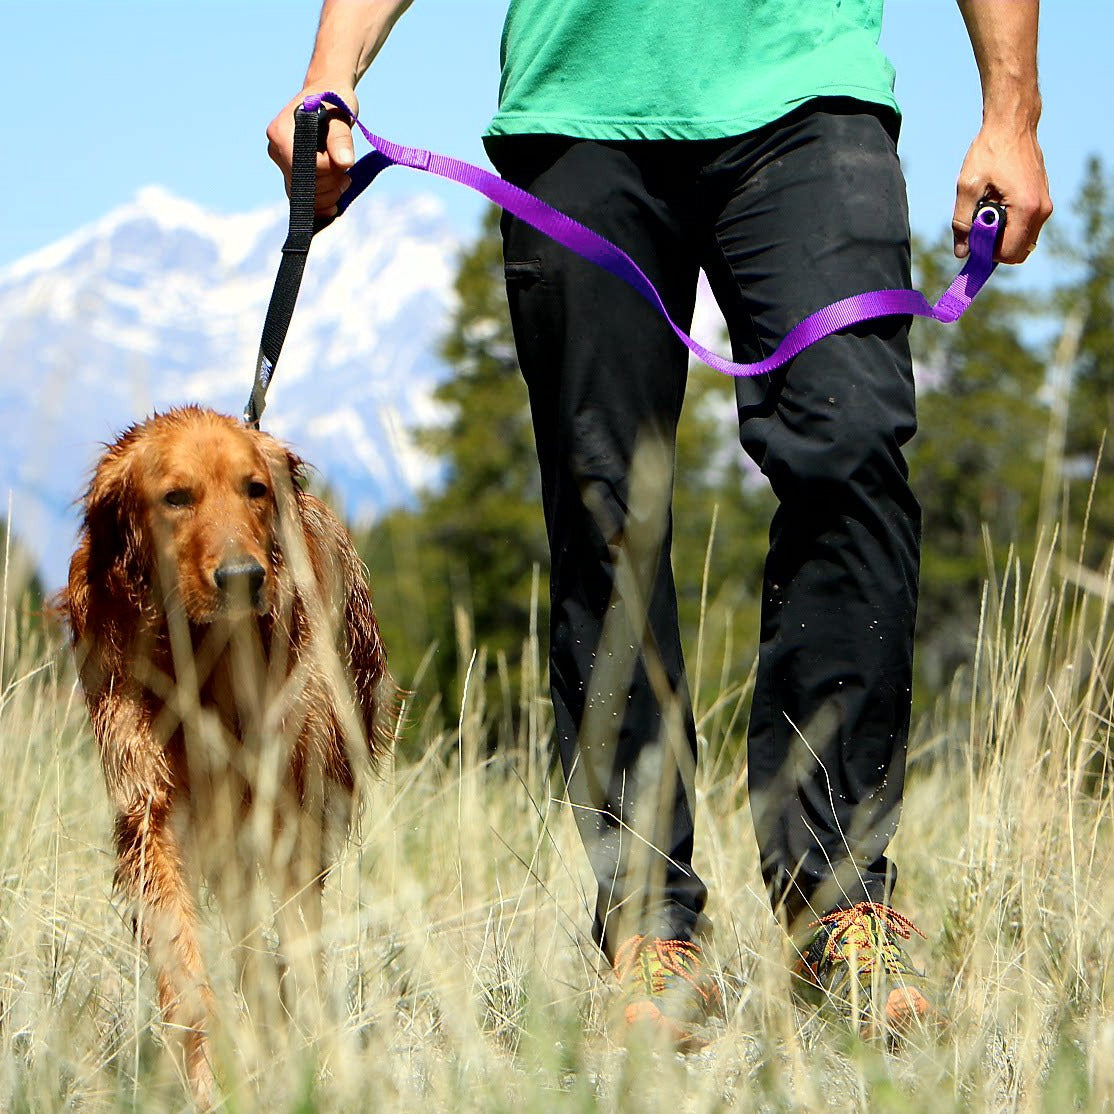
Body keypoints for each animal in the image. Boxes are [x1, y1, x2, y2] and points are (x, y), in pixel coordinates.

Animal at [62, 405, 392, 1100]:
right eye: (176, 497)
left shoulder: (289, 809)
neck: (199, 649)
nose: (242, 578)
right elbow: (185, 970)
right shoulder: (151, 810)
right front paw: (209, 1081)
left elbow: (297, 940)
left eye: (255, 490)